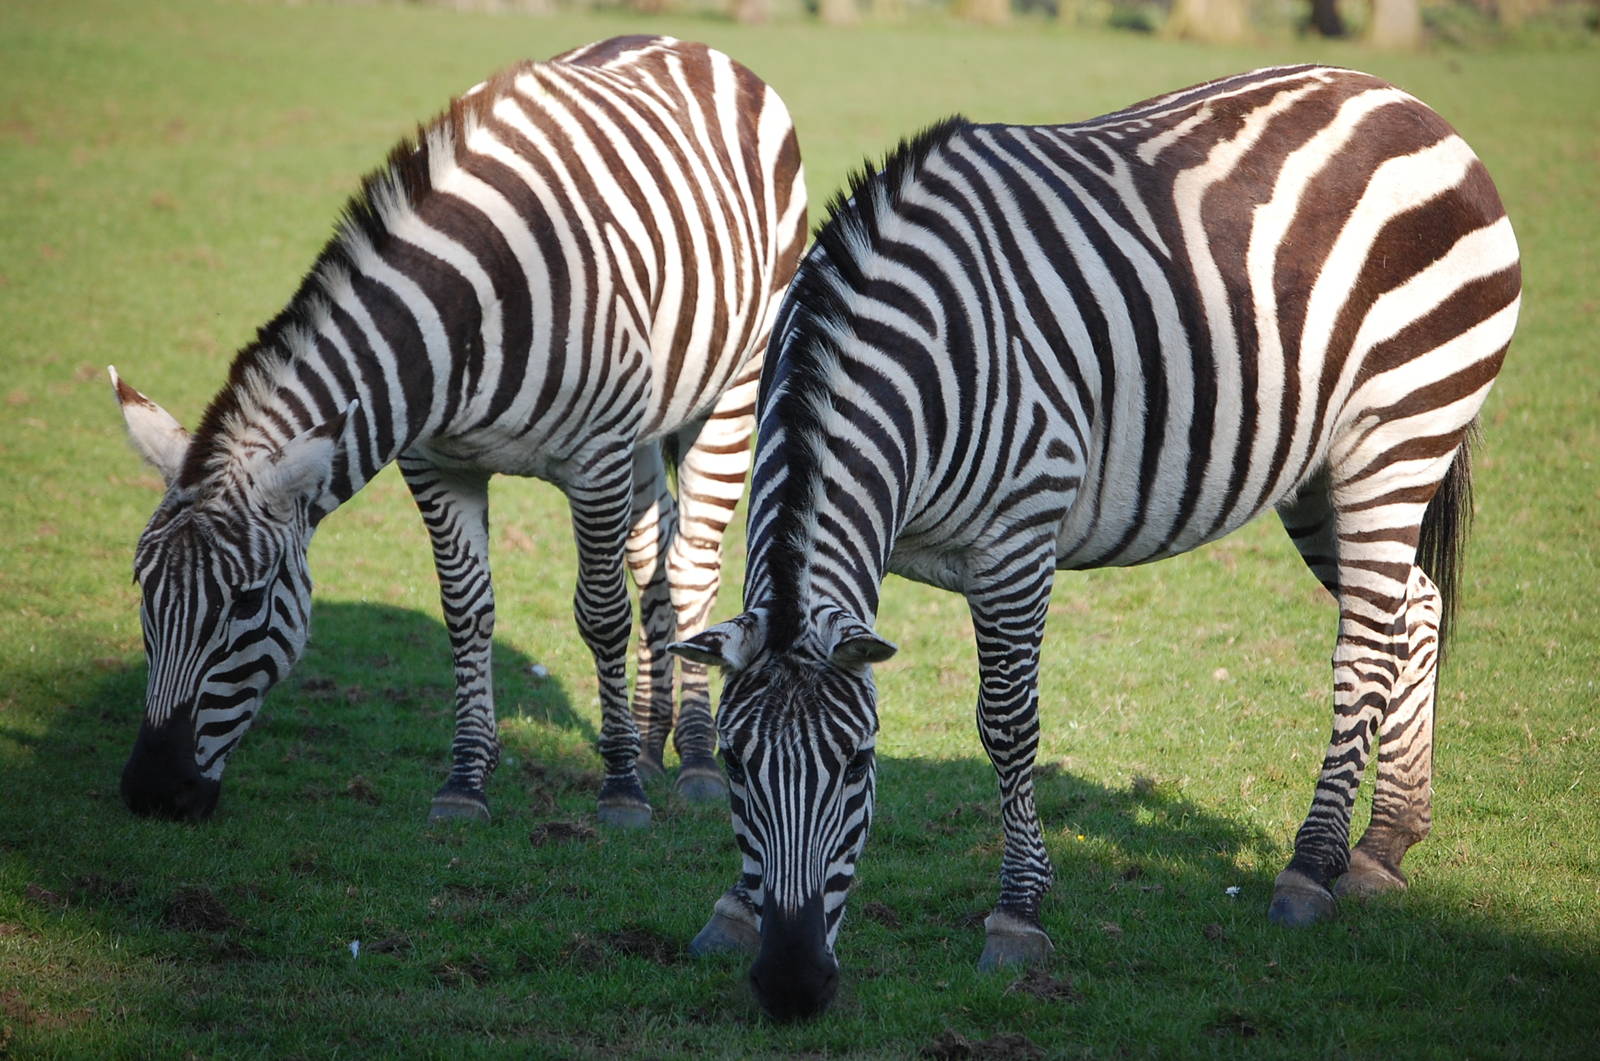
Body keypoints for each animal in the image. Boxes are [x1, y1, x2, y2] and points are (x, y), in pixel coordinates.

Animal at [110, 35, 807, 826]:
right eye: (141, 586)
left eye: (250, 601)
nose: (151, 791)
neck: (475, 304)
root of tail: (689, 44)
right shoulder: (438, 464)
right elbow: (468, 612)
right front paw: (467, 778)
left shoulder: (594, 458)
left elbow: (600, 615)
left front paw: (621, 786)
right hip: (644, 424)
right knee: (651, 557)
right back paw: (655, 736)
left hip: (732, 387)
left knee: (690, 566)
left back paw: (692, 758)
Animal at [669, 65, 1520, 1020]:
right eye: (733, 765)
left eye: (858, 767)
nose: (792, 984)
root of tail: (1406, 102)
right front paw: (733, 910)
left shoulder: (1017, 538)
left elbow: (1006, 724)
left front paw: (1017, 913)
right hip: (1319, 471)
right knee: (1416, 610)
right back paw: (1384, 845)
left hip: (1400, 431)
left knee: (1367, 646)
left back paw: (1310, 867)